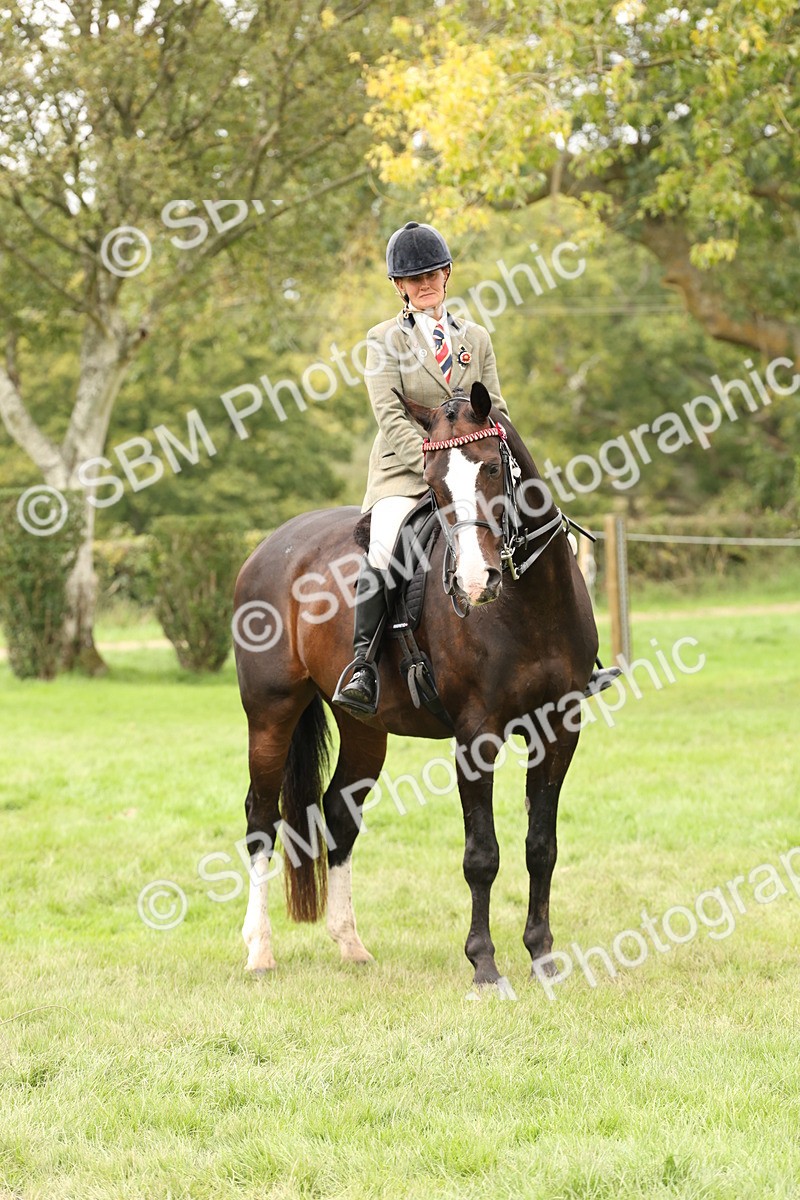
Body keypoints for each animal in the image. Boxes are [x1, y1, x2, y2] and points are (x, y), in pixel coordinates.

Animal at [232, 381, 599, 993]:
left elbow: (540, 847)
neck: (529, 607)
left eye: (492, 468)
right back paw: (259, 951)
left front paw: (543, 957)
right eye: (433, 483)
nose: (475, 582)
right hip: (270, 714)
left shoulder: (559, 728)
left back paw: (351, 946)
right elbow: (482, 855)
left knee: (338, 814)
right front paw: (484, 965)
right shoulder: (477, 736)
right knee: (261, 819)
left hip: (363, 727)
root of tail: (270, 545)